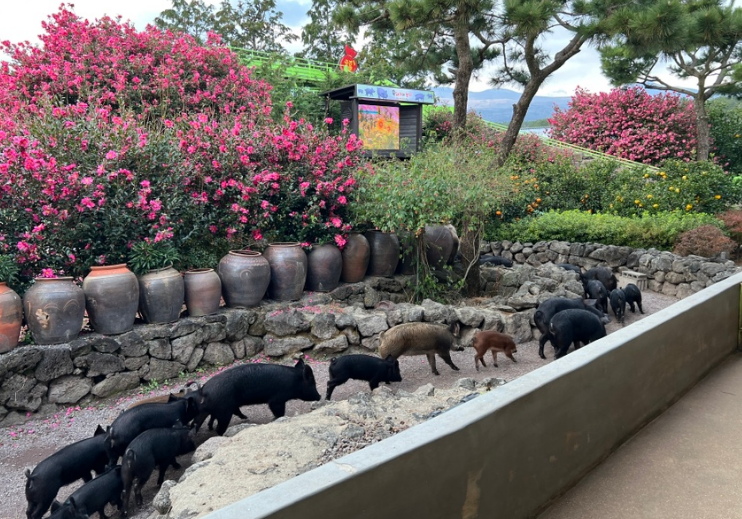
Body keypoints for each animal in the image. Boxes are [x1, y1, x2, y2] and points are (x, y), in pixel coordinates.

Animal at [193, 358, 322, 434]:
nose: (320, 396)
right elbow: (278, 411)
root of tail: (203, 390)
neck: (294, 382)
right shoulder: (276, 400)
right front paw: (276, 419)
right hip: (224, 412)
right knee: (219, 428)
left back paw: (244, 418)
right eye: (312, 383)